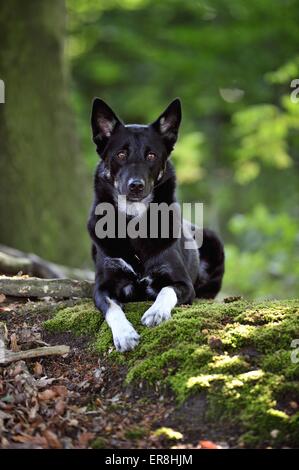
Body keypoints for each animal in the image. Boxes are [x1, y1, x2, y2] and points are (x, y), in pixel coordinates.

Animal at [86, 99, 225, 352]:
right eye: (121, 154)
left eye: (151, 155)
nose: (136, 186)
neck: (134, 222)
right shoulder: (103, 287)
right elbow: (112, 307)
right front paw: (124, 334)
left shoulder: (183, 284)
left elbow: (166, 290)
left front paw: (156, 312)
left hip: (213, 240)